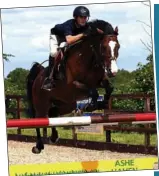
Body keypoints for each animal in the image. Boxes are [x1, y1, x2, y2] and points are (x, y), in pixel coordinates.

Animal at [26, 19, 120, 154]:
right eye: (104, 47)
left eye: (118, 46)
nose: (113, 72)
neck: (88, 59)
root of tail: (39, 75)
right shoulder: (74, 85)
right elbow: (93, 91)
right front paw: (91, 105)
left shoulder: (100, 81)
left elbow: (108, 88)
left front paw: (101, 104)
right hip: (41, 104)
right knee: (38, 120)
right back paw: (38, 146)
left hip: (66, 104)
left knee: (53, 113)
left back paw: (53, 137)